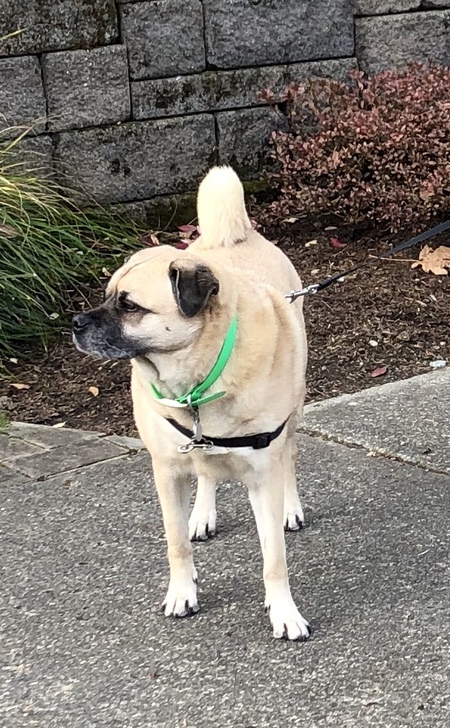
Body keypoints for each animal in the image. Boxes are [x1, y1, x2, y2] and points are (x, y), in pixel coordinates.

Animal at [72, 166, 312, 644]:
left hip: (292, 419)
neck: (199, 378)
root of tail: (232, 238)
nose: (75, 322)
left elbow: (274, 558)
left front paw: (283, 611)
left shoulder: (264, 475)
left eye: (129, 305)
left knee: (290, 457)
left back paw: (290, 507)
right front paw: (183, 591)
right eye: (107, 295)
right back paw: (202, 514)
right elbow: (176, 542)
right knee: (205, 473)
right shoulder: (167, 472)